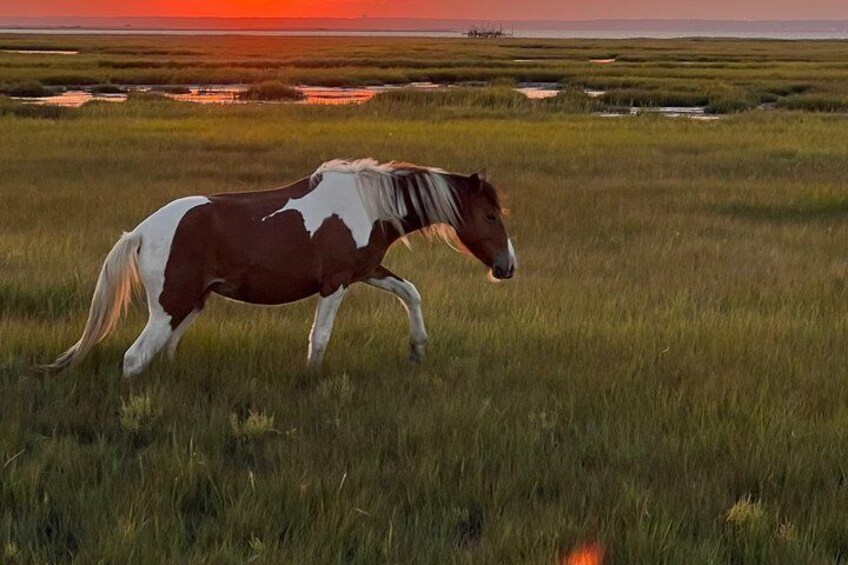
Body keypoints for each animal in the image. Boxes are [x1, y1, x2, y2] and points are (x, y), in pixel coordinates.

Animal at [45, 158, 517, 377]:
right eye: (490, 215)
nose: (507, 266)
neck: (367, 205)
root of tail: (141, 232)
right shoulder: (335, 283)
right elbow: (320, 336)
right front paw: (312, 377)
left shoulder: (368, 270)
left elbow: (411, 293)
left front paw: (417, 349)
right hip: (168, 308)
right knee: (134, 358)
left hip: (190, 305)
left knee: (165, 350)